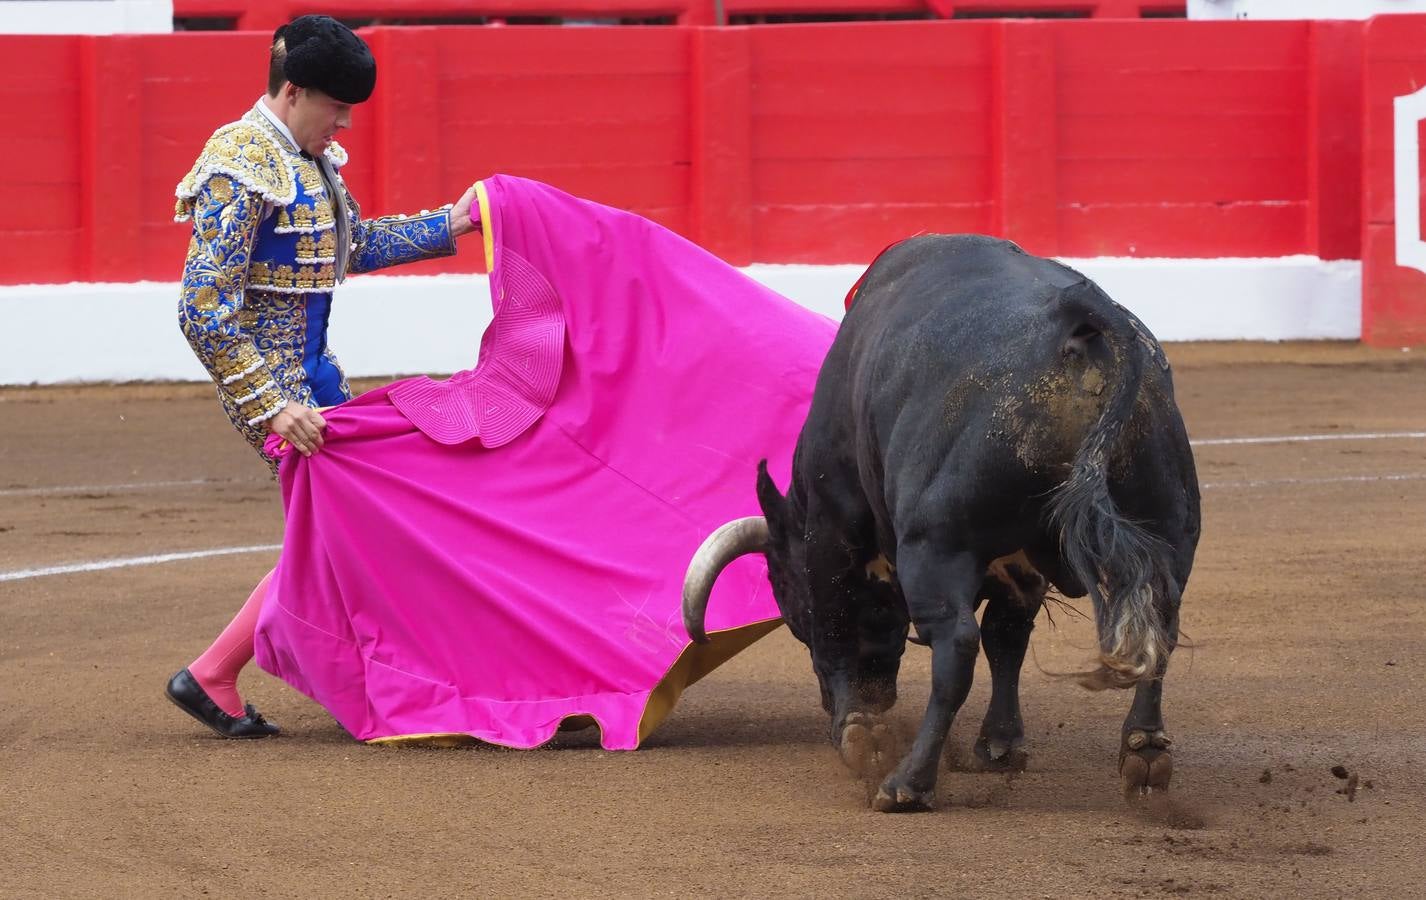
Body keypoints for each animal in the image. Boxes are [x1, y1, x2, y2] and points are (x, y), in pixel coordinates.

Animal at [684, 235, 1197, 815]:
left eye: (783, 591)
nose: (878, 696)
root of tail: (1080, 322)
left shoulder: (834, 524)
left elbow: (837, 622)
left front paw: (856, 730)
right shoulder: (1018, 569)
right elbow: (1006, 638)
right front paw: (1000, 744)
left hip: (935, 544)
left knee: (954, 645)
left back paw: (906, 782)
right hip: (1170, 530)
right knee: (1159, 625)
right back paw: (1145, 752)